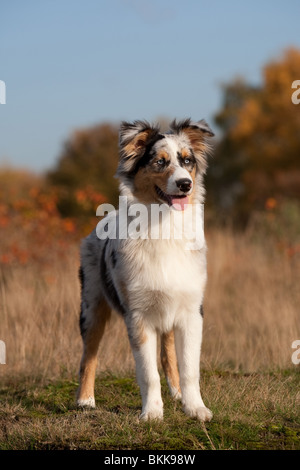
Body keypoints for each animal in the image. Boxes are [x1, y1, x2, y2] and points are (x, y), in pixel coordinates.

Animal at [76, 118, 214, 422]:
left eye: (187, 161)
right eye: (160, 162)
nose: (185, 184)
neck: (165, 225)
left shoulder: (191, 311)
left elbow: (189, 368)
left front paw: (195, 408)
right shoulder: (138, 316)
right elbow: (148, 373)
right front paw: (151, 413)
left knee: (168, 355)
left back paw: (177, 394)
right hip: (91, 307)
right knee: (89, 355)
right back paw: (85, 400)